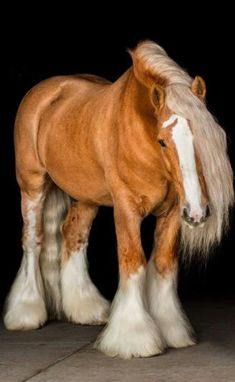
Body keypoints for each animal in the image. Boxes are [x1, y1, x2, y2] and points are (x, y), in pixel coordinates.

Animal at [3, 41, 233, 358]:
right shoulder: (126, 209)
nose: (198, 214)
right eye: (162, 141)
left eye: (202, 136)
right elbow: (132, 261)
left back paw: (85, 308)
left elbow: (164, 264)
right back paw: (25, 313)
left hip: (87, 197)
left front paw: (171, 330)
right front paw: (134, 338)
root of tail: (44, 91)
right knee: (32, 241)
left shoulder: (174, 211)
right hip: (32, 185)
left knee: (73, 235)